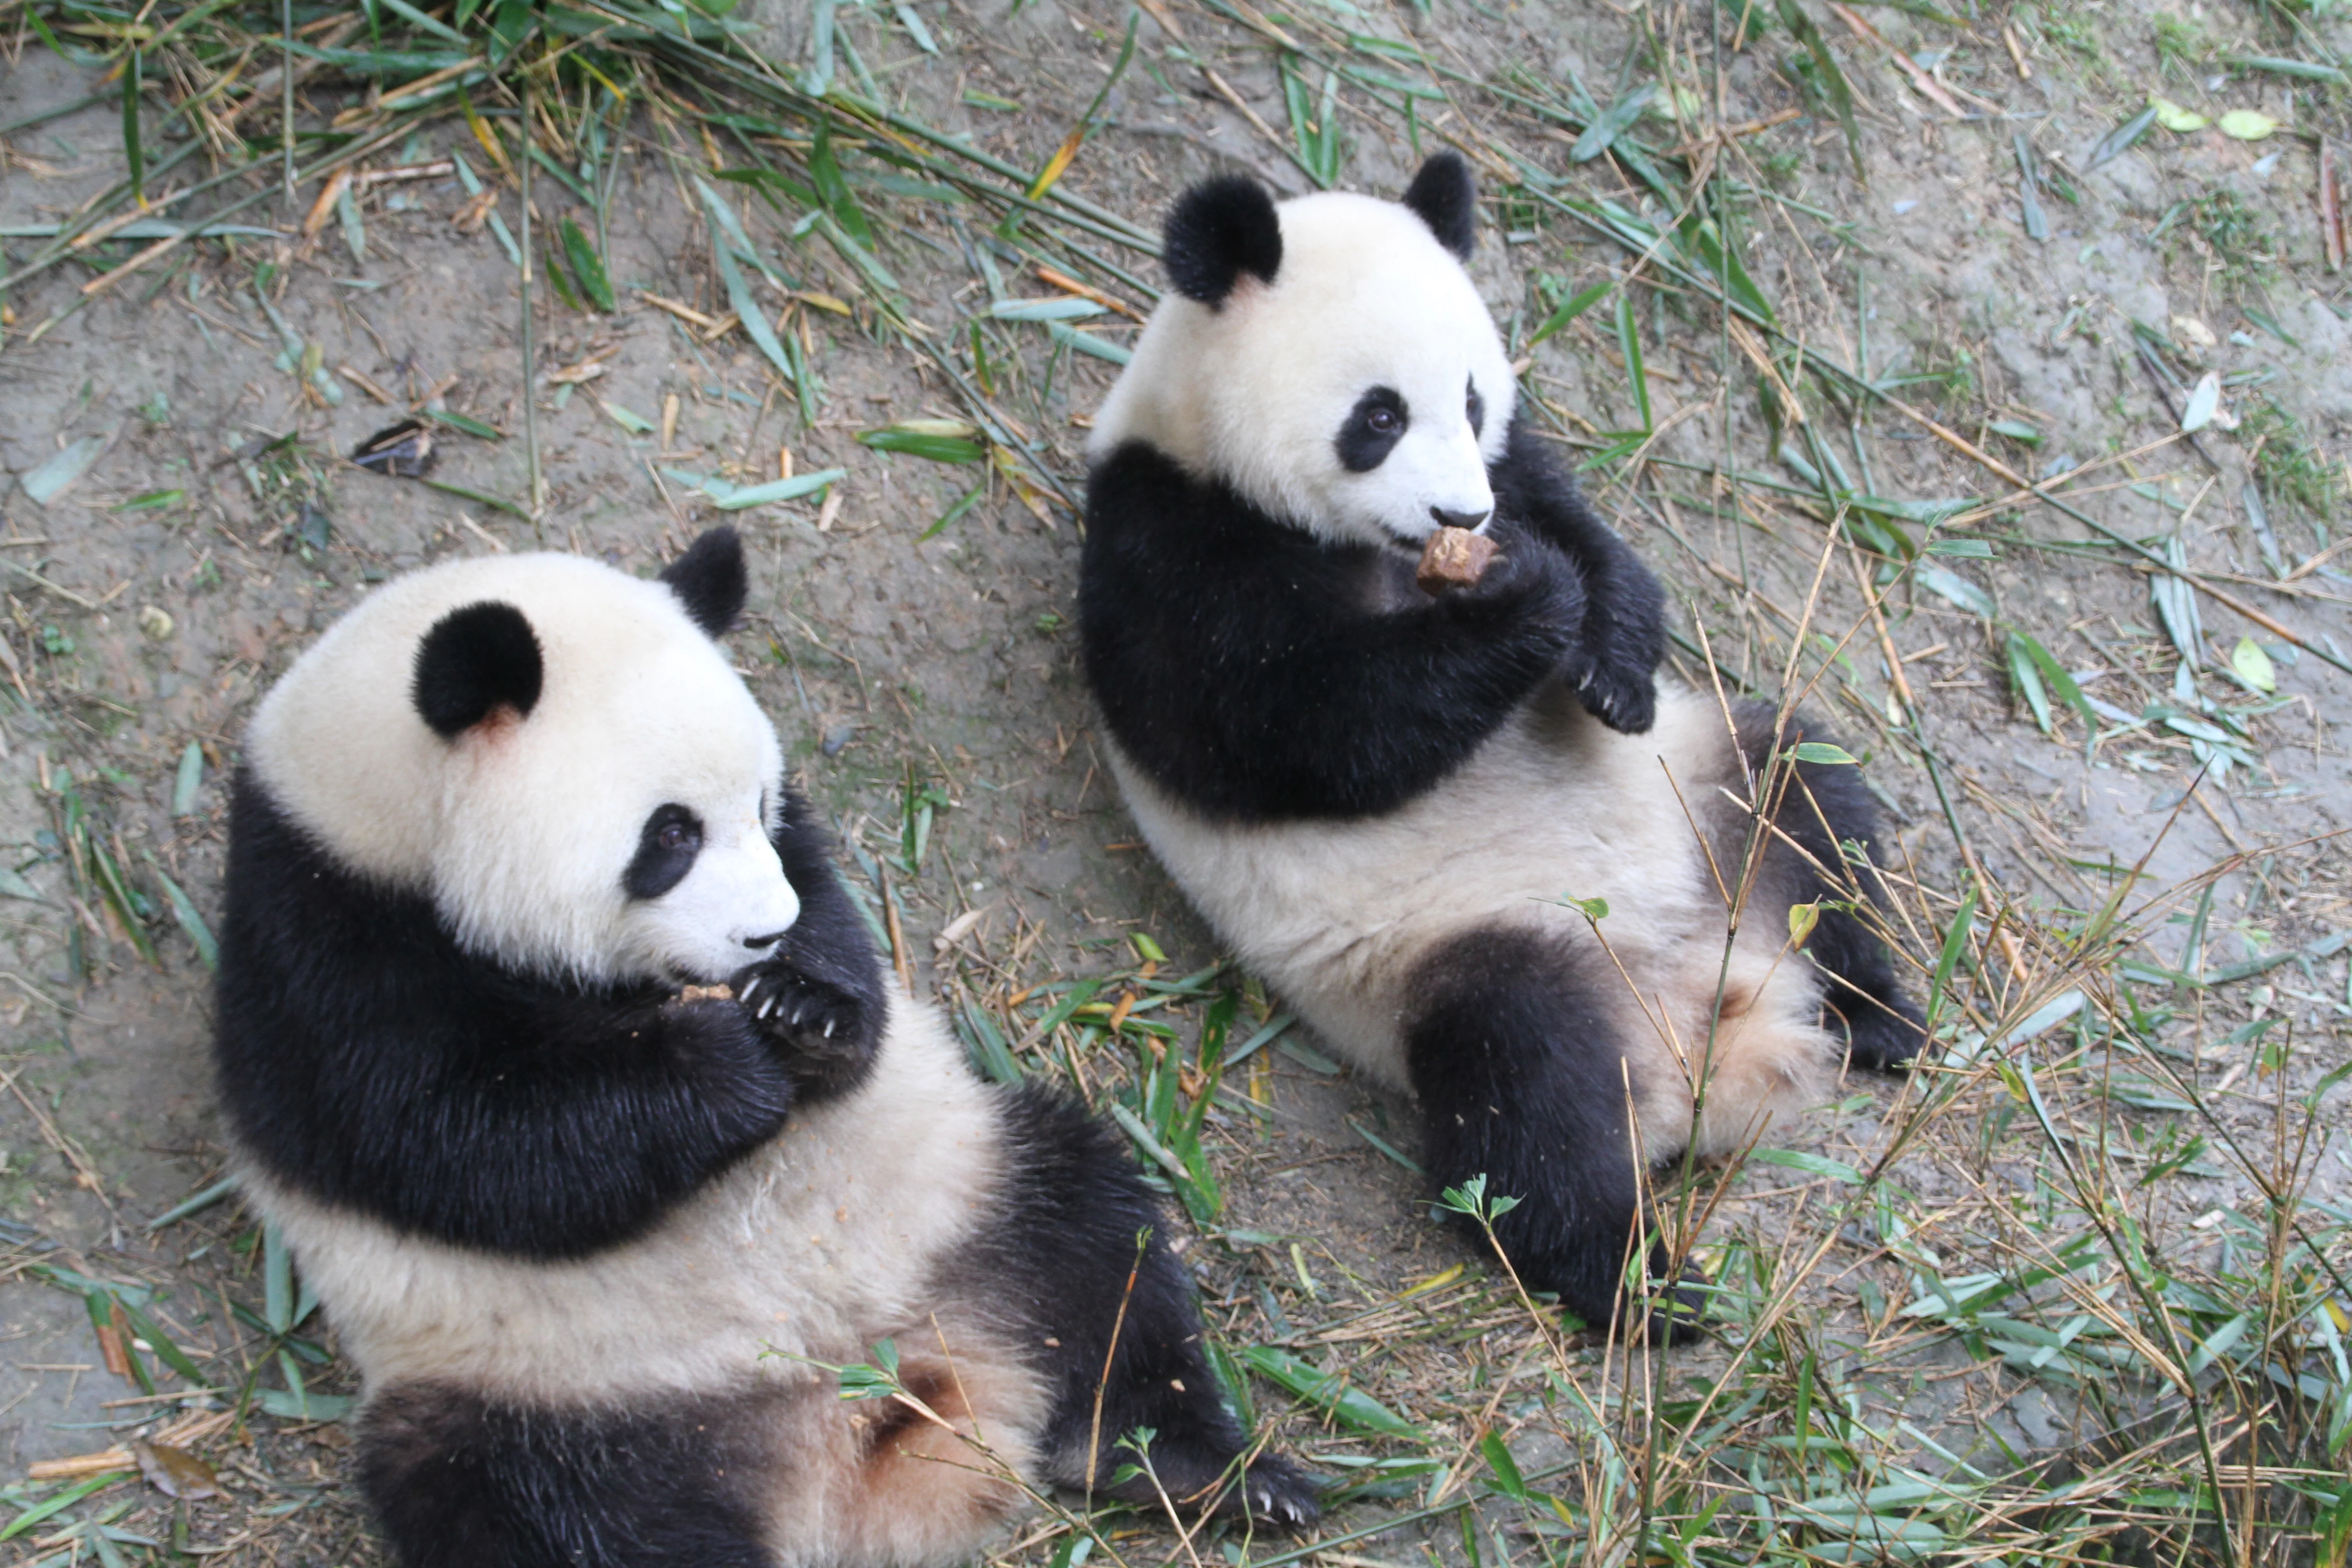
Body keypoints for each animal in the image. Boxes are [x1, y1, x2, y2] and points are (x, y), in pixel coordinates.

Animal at [213, 527, 1318, 1567]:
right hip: (544, 1396)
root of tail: (850, 1423)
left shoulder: (802, 865)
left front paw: (805, 1010)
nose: (761, 935)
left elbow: (843, 940)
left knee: (1099, 1246)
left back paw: (1209, 1474)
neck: (376, 813)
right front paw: (723, 1071)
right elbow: (459, 1138)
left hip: (966, 1190)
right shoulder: (317, 940)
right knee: (542, 1513)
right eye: (669, 836)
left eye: (757, 803)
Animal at [1077, 154, 1923, 1336]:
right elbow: (1305, 730)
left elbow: (1598, 543)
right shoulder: (1166, 542)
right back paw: (1637, 1278)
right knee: (1528, 1089)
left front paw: (1608, 664)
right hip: (1478, 942)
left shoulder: (1515, 464)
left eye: (1471, 399)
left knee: (1809, 804)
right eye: (1378, 415)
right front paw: (1527, 602)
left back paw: (1878, 1012)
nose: (1459, 514)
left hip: (1708, 791)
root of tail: (1720, 1031)